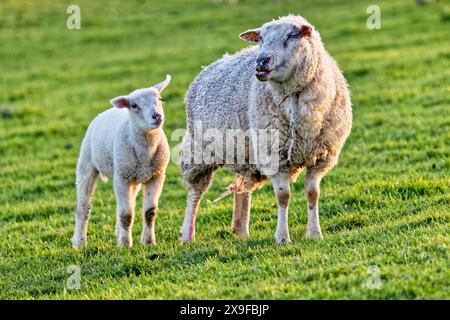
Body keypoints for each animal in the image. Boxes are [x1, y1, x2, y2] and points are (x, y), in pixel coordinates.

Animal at [72, 74, 172, 248]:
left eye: (159, 98)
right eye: (134, 105)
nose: (157, 116)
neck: (145, 150)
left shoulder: (157, 175)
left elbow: (149, 212)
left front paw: (148, 242)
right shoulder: (122, 177)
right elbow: (126, 214)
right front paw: (125, 245)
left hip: (132, 176)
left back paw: (118, 234)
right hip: (87, 164)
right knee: (83, 207)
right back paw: (79, 242)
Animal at [179, 15, 352, 244]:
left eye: (293, 34)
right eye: (260, 38)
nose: (261, 62)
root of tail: (207, 66)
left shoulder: (321, 157)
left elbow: (313, 193)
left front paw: (314, 233)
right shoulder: (274, 156)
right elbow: (283, 196)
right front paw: (282, 238)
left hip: (247, 154)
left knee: (242, 189)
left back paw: (241, 231)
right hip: (199, 151)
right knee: (195, 193)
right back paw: (187, 234)